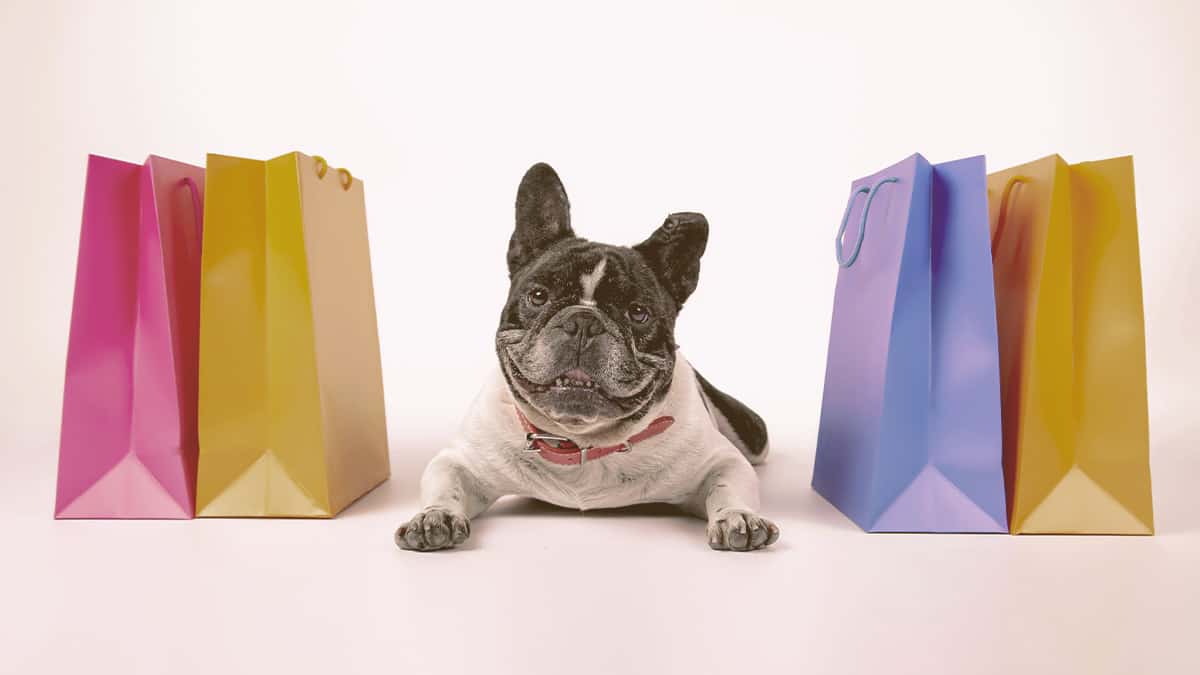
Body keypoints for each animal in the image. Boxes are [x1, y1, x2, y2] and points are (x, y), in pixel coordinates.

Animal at [393, 164, 777, 552]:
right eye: (538, 296)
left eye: (638, 313)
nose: (584, 321)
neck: (582, 444)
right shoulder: (462, 461)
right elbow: (446, 482)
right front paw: (435, 516)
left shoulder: (722, 461)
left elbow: (728, 485)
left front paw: (738, 517)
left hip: (752, 435)